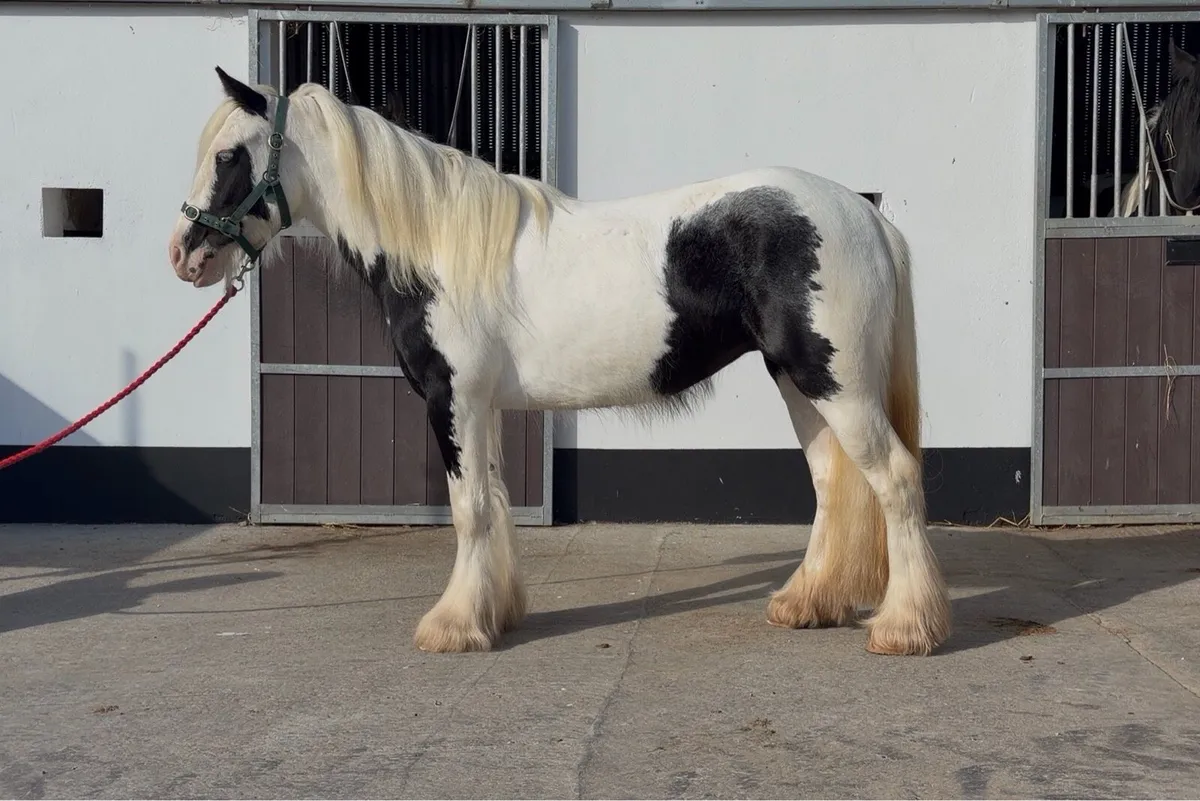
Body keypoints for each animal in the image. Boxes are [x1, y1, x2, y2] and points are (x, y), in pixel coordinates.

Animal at [167, 67, 952, 657]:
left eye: (229, 154)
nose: (184, 255)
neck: (437, 248)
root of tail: (863, 211)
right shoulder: (479, 406)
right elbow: (492, 502)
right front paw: (494, 612)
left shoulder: (453, 400)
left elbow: (469, 510)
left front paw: (453, 626)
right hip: (798, 380)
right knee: (833, 485)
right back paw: (806, 603)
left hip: (835, 382)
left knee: (896, 479)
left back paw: (905, 628)